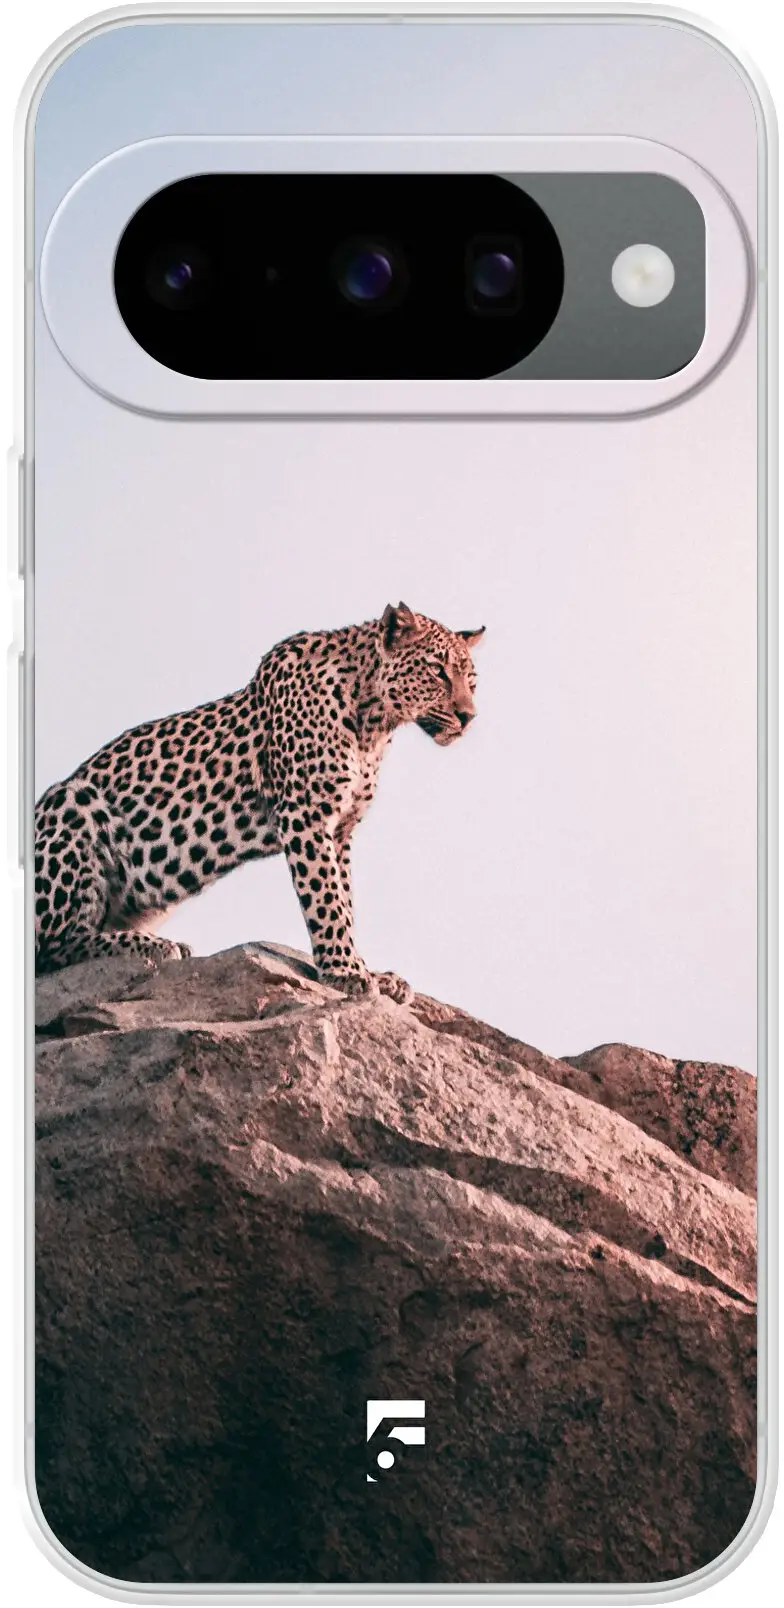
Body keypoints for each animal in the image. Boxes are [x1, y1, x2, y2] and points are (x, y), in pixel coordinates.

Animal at [34, 603, 484, 999]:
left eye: (472, 680)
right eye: (437, 671)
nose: (469, 717)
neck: (373, 722)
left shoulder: (341, 830)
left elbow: (346, 901)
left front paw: (367, 970)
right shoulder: (305, 814)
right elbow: (327, 900)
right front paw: (345, 972)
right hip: (70, 801)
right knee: (56, 946)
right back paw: (153, 946)